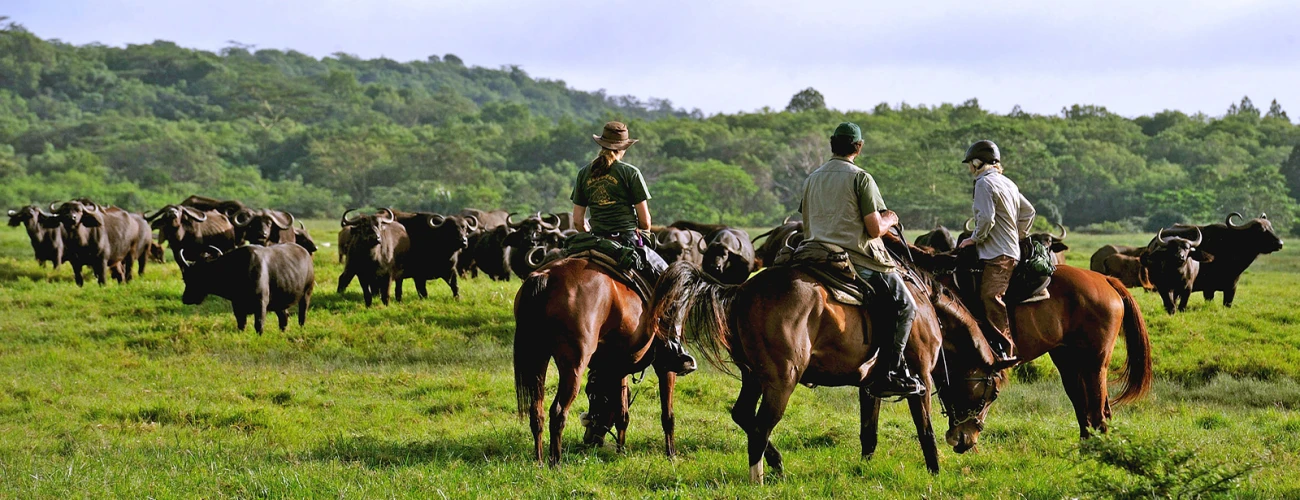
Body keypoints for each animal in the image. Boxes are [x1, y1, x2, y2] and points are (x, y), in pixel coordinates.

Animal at [178, 244, 314, 332]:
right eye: (185, 278)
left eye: (196, 278)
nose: (185, 299)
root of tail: (306, 254)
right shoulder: (237, 306)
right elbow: (241, 324)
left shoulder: (261, 303)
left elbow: (259, 325)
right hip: (279, 303)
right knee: (284, 318)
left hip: (306, 294)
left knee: (302, 317)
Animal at [509, 257, 681, 462]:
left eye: (596, 397)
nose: (590, 438)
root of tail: (546, 277)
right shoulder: (665, 366)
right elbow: (667, 414)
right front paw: (671, 454)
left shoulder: (619, 367)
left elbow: (623, 411)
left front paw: (620, 450)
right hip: (573, 366)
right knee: (558, 412)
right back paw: (556, 462)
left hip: (538, 359)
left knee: (537, 412)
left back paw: (540, 460)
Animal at [647, 257, 993, 477]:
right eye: (989, 395)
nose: (967, 441)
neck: (925, 308)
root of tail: (743, 290)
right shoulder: (920, 378)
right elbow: (926, 430)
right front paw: (935, 472)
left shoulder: (871, 384)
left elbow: (869, 431)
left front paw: (864, 469)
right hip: (781, 381)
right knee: (759, 427)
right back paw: (760, 477)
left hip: (755, 377)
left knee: (743, 415)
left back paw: (775, 462)